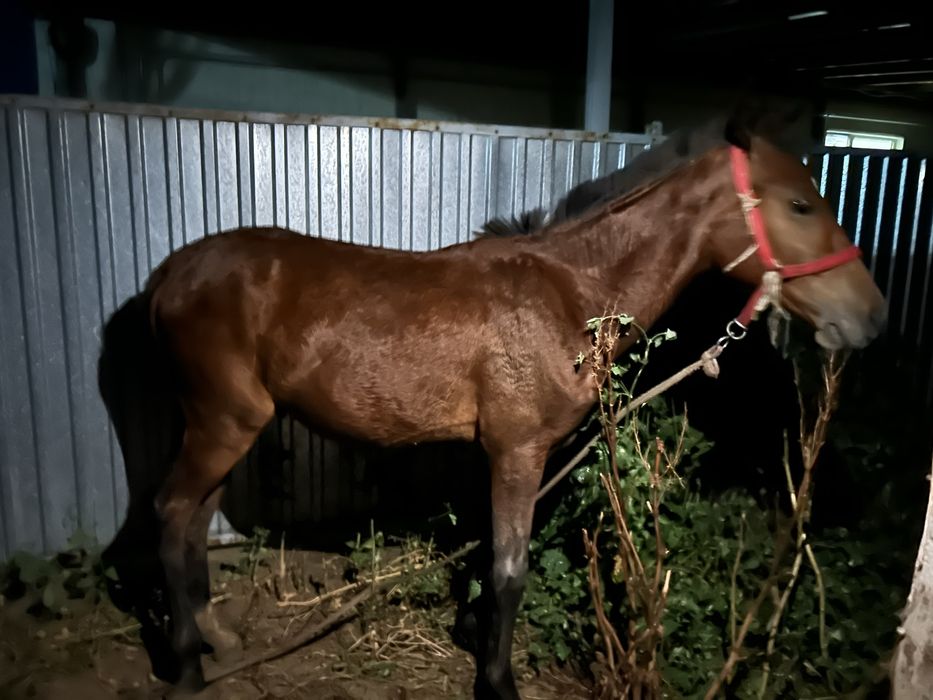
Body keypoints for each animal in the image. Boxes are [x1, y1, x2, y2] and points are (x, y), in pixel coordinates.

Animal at [107, 109, 886, 699]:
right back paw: (185, 665)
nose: (869, 318)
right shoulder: (517, 451)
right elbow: (510, 573)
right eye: (799, 204)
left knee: (192, 519)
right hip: (223, 422)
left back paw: (216, 637)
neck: (567, 293)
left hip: (221, 424)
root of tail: (169, 275)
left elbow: (491, 563)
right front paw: (498, 681)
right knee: (172, 512)